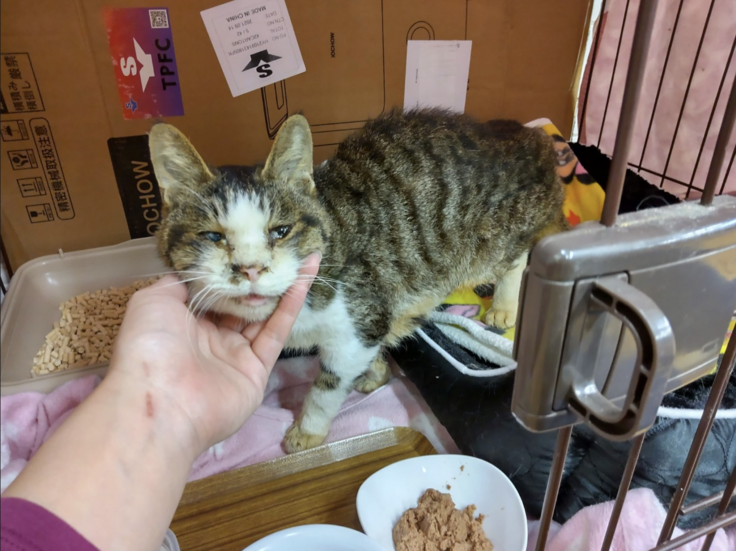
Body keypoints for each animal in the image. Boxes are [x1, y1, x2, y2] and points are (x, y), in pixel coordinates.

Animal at [149, 109, 568, 453]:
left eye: (280, 231)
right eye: (212, 237)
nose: (250, 269)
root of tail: (529, 135)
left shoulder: (357, 320)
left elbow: (329, 384)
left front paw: (308, 429)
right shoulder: (375, 314)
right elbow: (377, 343)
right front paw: (378, 372)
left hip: (494, 240)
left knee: (521, 255)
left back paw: (504, 306)